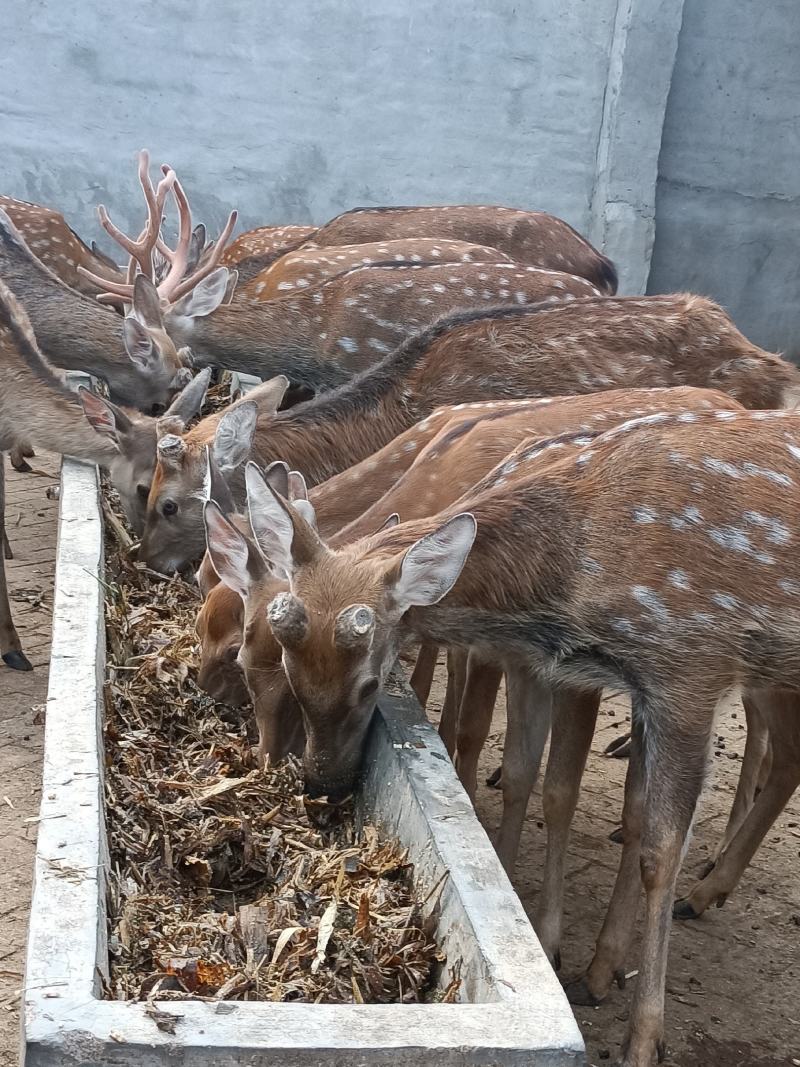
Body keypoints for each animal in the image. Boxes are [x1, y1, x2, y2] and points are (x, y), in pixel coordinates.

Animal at [235, 406, 800, 1067]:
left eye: (371, 683)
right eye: (290, 670)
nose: (322, 785)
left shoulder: (690, 665)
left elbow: (659, 850)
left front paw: (642, 1038)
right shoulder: (578, 670)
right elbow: (552, 784)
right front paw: (576, 958)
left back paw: (704, 891)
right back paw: (708, 891)